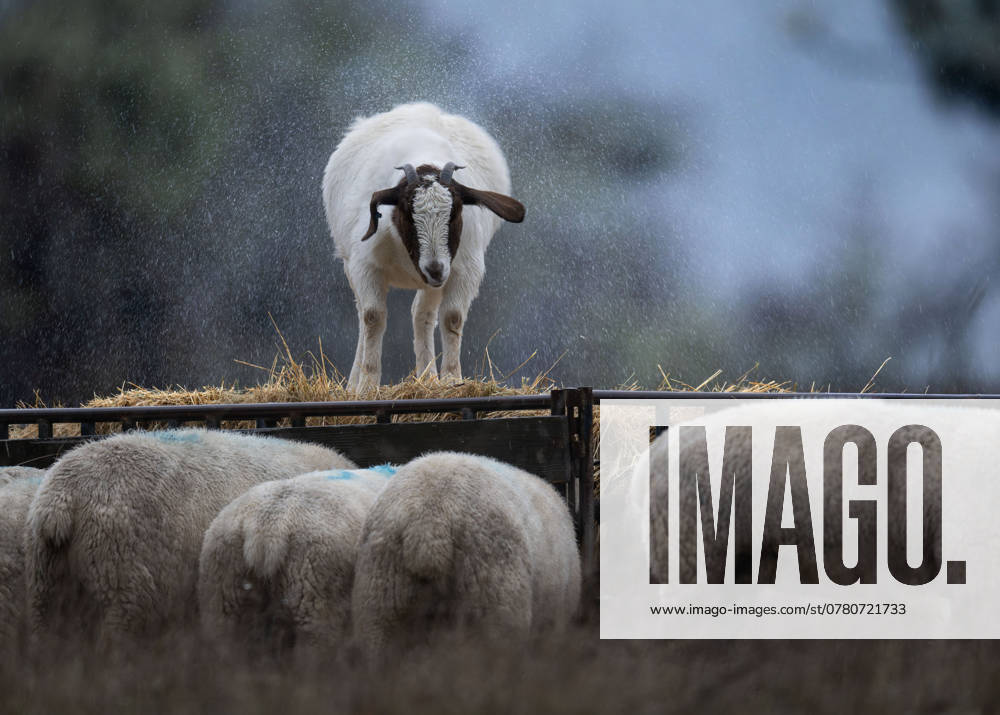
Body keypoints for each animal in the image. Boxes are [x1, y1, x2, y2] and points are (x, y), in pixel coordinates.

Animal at [322, 102, 525, 391]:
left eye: (455, 213)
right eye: (406, 213)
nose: (435, 269)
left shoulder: (464, 268)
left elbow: (452, 317)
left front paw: (452, 380)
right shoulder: (364, 264)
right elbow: (373, 317)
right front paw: (367, 387)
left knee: (422, 314)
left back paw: (427, 379)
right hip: (351, 264)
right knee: (363, 315)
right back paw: (354, 385)